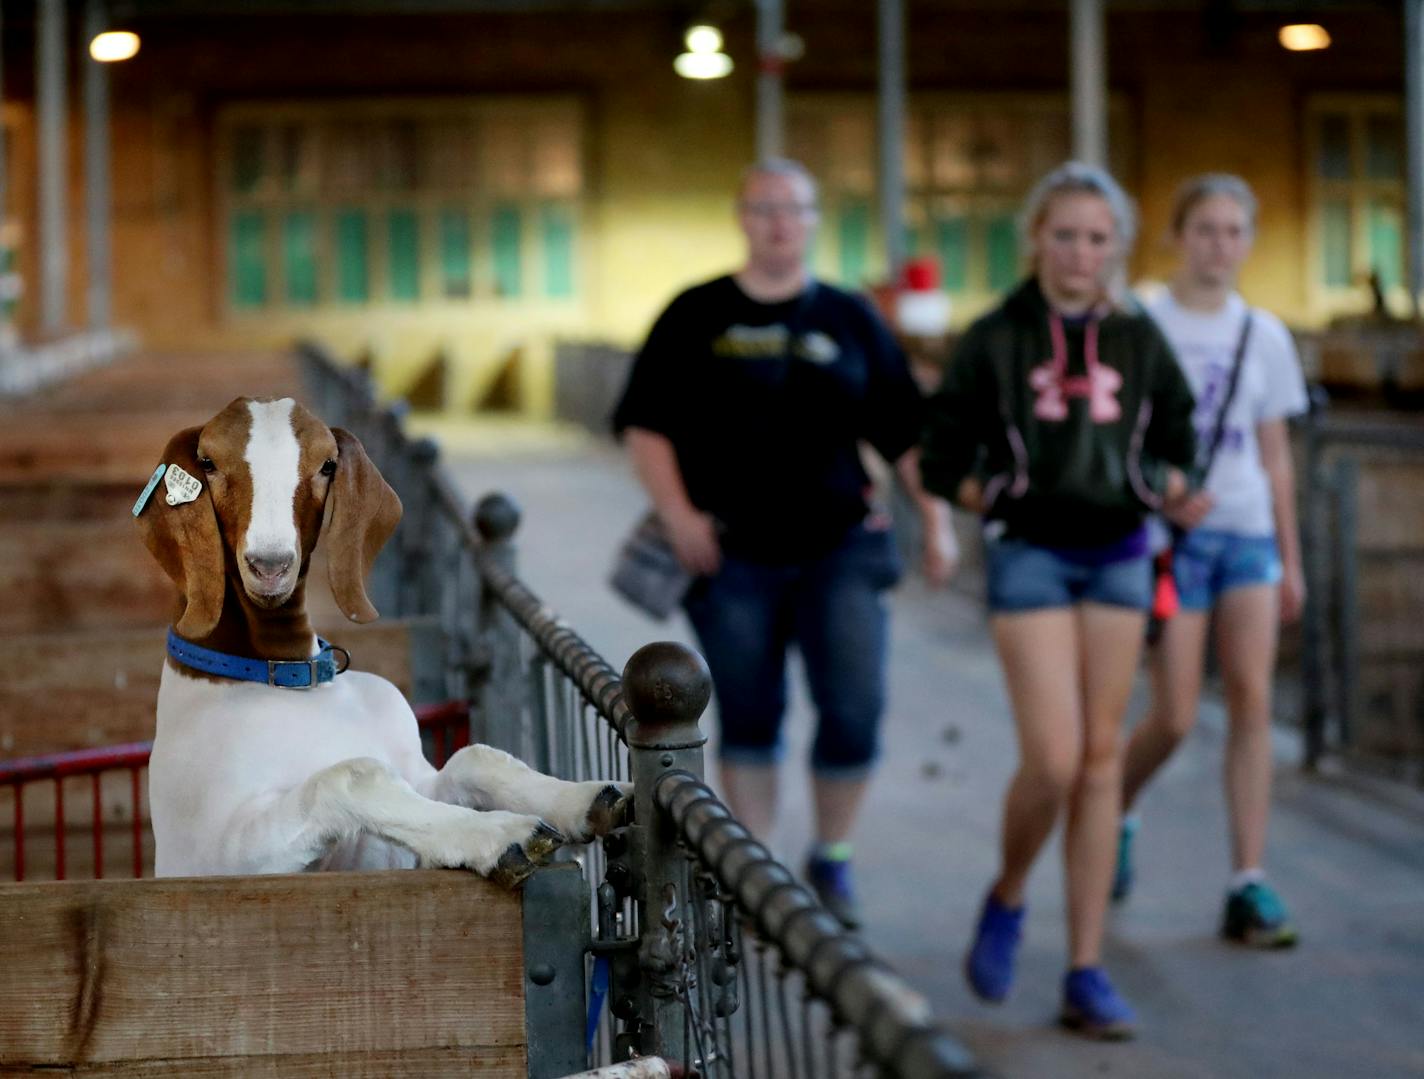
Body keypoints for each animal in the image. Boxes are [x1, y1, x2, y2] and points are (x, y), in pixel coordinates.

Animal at [135, 398, 626, 888]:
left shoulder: (418, 789)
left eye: (327, 464)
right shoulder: (215, 858)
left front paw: (588, 798)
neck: (285, 676)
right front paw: (499, 834)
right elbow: (354, 774)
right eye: (208, 463)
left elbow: (472, 758)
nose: (269, 565)